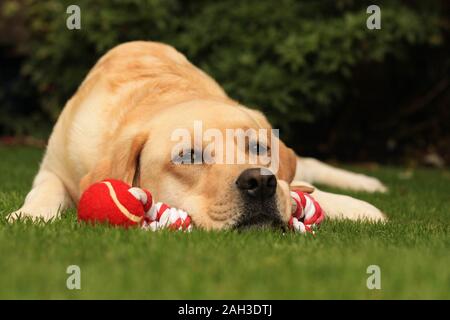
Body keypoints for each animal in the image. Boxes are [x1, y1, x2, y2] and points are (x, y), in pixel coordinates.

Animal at [7, 41, 386, 229]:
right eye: (188, 156)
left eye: (259, 147)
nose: (260, 182)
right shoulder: (54, 168)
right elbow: (47, 190)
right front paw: (29, 216)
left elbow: (294, 187)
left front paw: (355, 207)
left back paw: (367, 184)